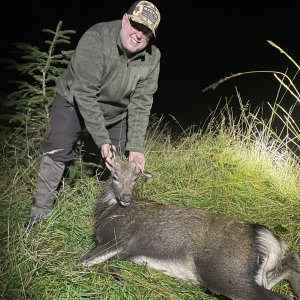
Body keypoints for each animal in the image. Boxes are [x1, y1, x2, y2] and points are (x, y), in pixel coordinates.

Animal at [79, 154, 300, 298]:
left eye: (135, 178)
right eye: (115, 176)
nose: (126, 197)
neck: (107, 211)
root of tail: (265, 236)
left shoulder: (117, 237)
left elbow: (81, 263)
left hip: (225, 273)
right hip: (255, 273)